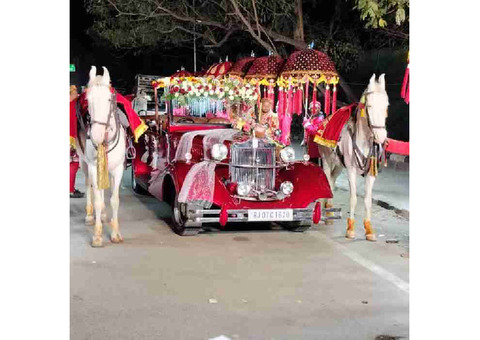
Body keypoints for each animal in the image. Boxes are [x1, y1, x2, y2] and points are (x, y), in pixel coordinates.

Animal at [76, 66, 126, 247]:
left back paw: (104, 214)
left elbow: (115, 200)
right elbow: (97, 198)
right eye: (88, 100)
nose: (96, 136)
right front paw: (97, 235)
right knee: (89, 185)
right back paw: (90, 216)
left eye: (109, 99)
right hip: (83, 163)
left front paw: (116, 233)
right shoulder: (92, 167)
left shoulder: (118, 169)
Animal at [318, 73, 390, 240]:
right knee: (326, 180)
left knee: (331, 182)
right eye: (369, 106)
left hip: (338, 165)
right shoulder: (351, 170)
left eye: (386, 105)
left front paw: (369, 229)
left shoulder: (370, 173)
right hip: (326, 160)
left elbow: (368, 200)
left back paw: (329, 210)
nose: (381, 137)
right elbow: (353, 198)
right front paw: (350, 228)